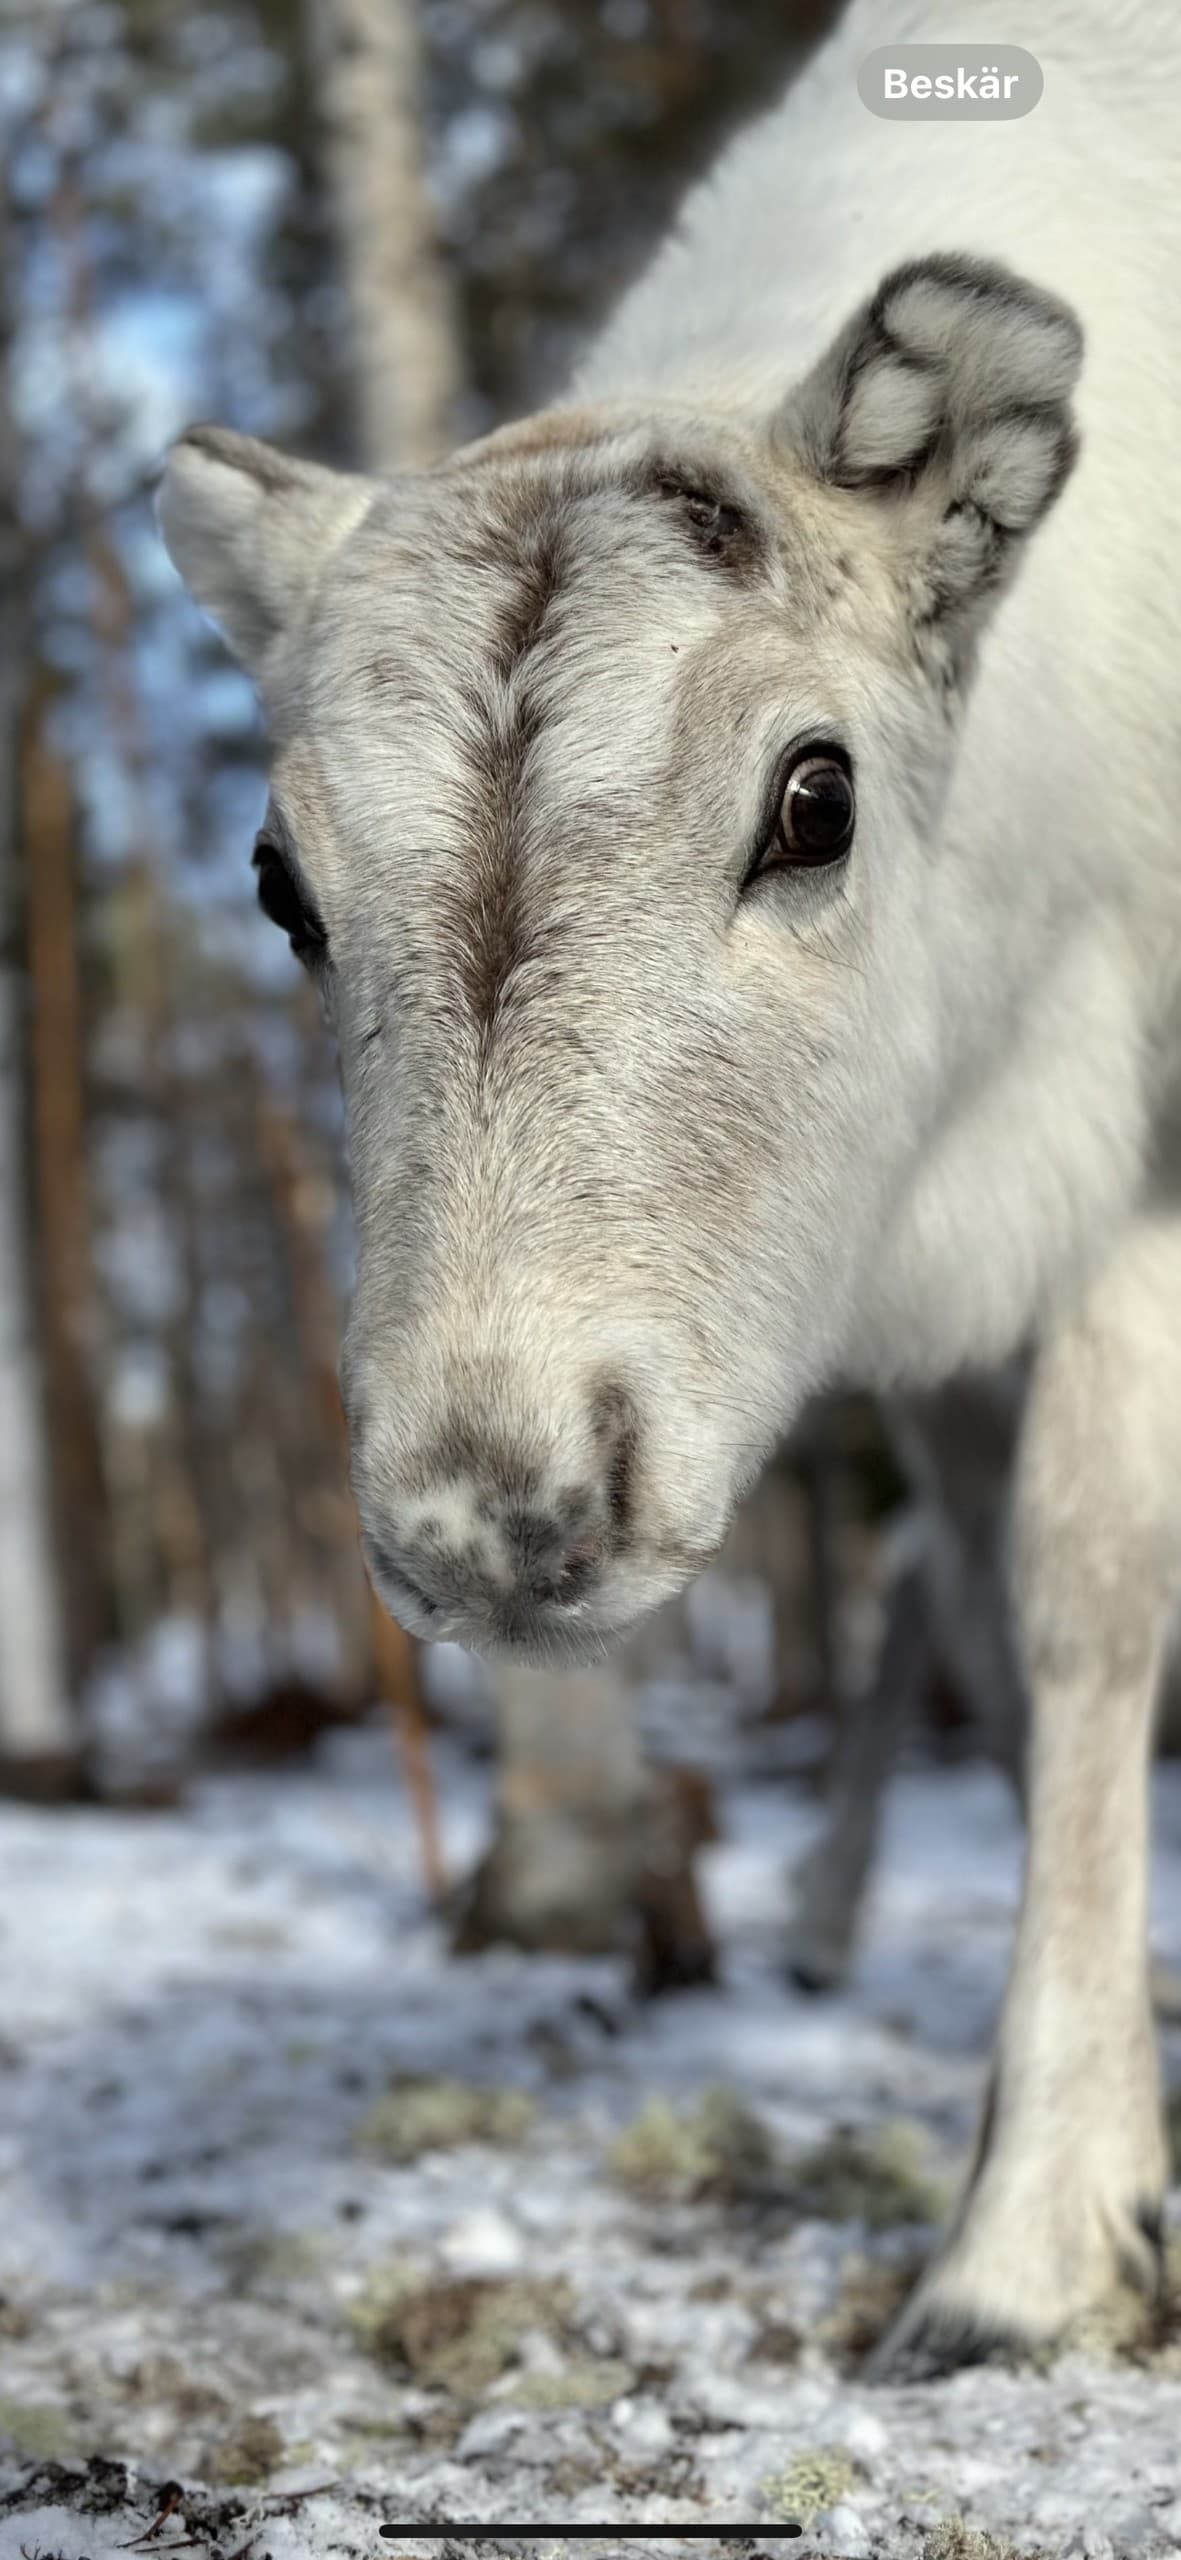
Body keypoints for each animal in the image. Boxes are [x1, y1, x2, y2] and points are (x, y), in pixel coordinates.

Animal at [157, 0, 1181, 2372]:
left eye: (812, 797)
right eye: (276, 879)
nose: (496, 1511)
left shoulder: (1133, 1159)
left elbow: (1090, 1605)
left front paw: (1023, 2252)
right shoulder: (938, 1263)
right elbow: (991, 1632)